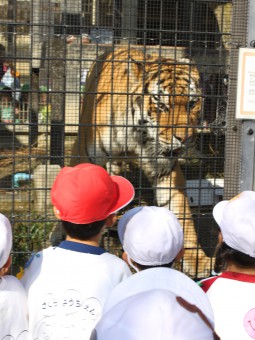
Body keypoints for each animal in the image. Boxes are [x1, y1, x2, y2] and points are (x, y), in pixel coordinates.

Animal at [70, 47, 212, 276]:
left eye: (192, 103)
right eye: (162, 105)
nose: (184, 138)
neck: (139, 135)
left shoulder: (164, 168)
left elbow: (180, 211)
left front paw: (197, 259)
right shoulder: (84, 155)